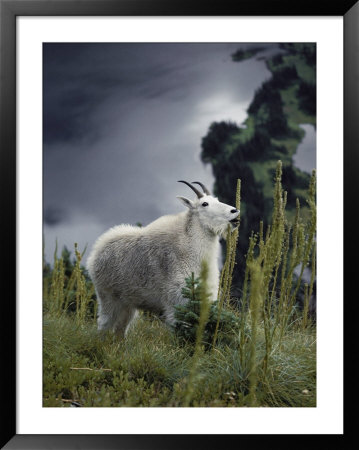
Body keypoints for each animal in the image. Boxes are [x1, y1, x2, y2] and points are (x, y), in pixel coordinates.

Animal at [86, 181, 239, 336]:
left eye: (217, 199)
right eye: (204, 204)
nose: (235, 211)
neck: (193, 254)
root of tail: (96, 251)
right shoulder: (176, 302)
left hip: (128, 303)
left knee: (120, 330)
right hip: (108, 297)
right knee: (104, 324)